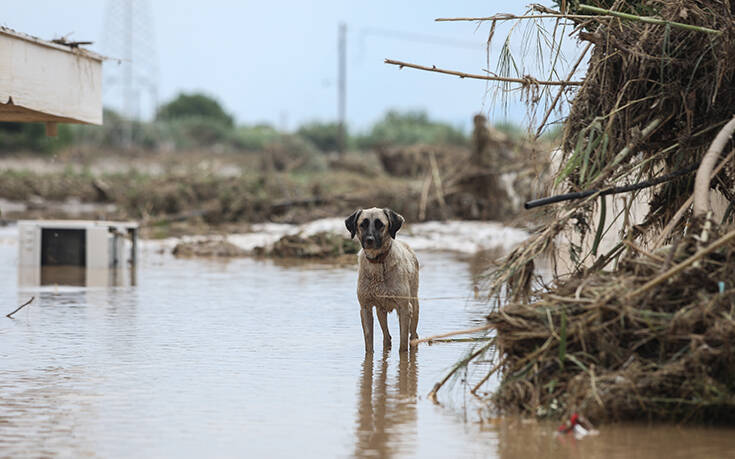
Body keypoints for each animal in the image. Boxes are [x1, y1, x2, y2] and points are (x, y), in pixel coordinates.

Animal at [344, 207, 420, 354]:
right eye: (362, 224)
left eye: (380, 224)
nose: (369, 240)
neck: (377, 263)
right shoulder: (365, 308)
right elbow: (369, 344)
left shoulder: (404, 309)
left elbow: (403, 345)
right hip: (380, 311)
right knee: (386, 335)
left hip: (414, 304)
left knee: (413, 334)